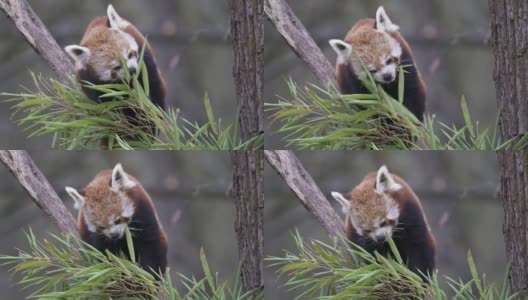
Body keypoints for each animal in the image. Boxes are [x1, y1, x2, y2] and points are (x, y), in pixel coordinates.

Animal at [64, 4, 166, 135]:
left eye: (130, 54)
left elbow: (152, 89)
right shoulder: (90, 82)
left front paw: (150, 119)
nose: (132, 70)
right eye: (116, 67)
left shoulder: (145, 63)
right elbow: (109, 107)